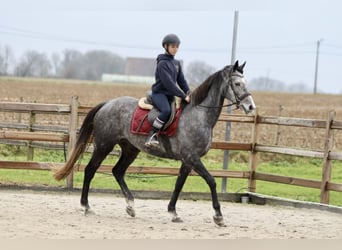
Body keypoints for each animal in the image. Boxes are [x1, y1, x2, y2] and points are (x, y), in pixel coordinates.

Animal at [53, 60, 255, 227]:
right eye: (237, 84)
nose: (251, 107)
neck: (199, 115)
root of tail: (107, 104)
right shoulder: (192, 158)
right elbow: (211, 181)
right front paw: (218, 216)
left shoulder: (188, 161)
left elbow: (179, 184)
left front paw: (173, 213)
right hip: (104, 145)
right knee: (90, 170)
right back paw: (86, 206)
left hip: (130, 149)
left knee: (117, 171)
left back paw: (131, 206)